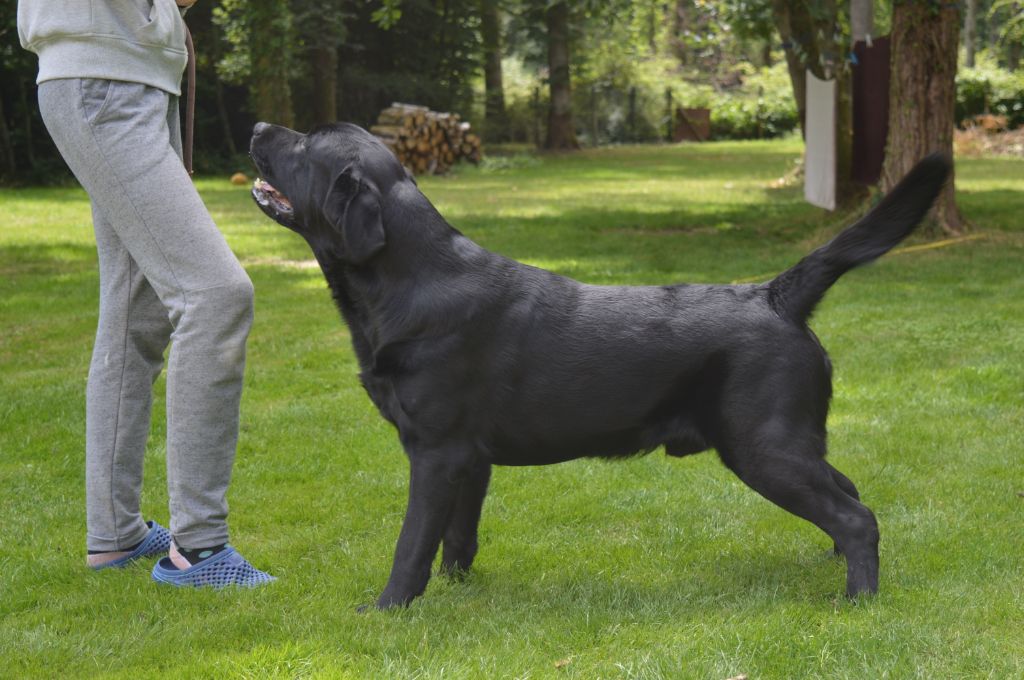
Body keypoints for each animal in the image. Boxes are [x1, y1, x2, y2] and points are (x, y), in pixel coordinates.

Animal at [249, 122, 950, 610]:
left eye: (306, 142)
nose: (256, 128)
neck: (409, 280)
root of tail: (775, 294)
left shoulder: (437, 451)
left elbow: (413, 542)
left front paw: (389, 608)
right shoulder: (470, 459)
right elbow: (456, 538)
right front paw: (457, 593)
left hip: (763, 447)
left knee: (857, 514)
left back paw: (858, 599)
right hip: (785, 442)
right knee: (850, 492)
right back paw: (833, 565)